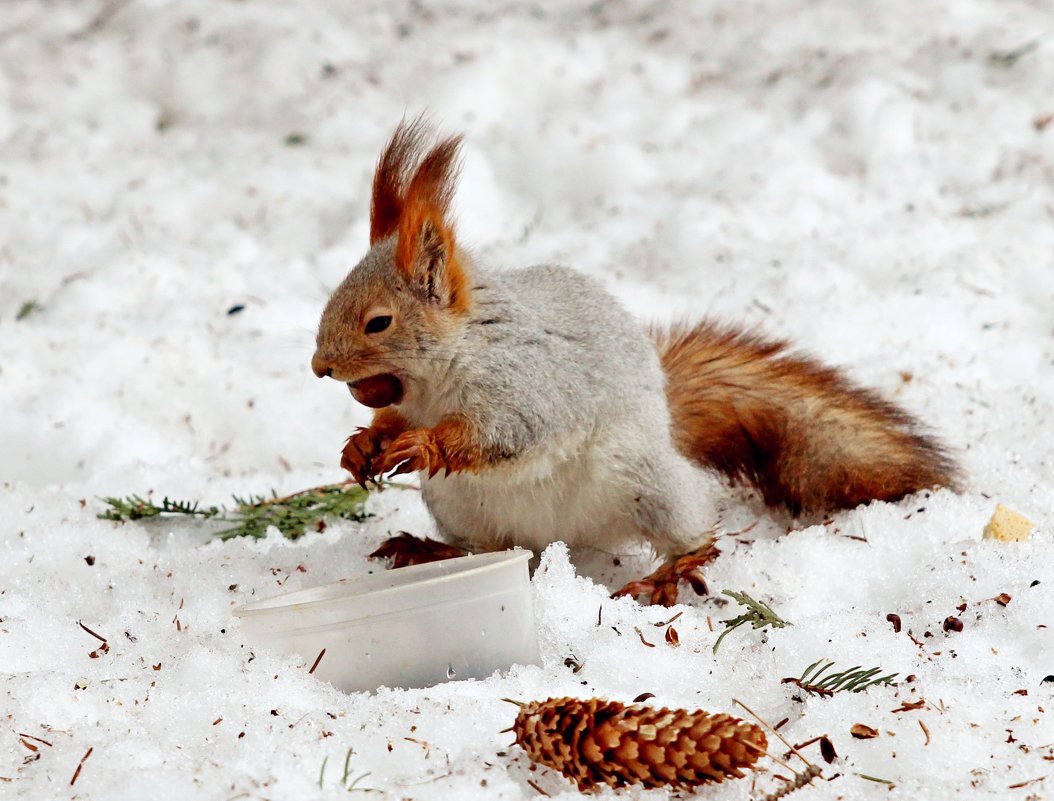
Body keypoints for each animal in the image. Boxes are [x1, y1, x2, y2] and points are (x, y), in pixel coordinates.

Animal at [307, 119, 961, 602]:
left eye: (378, 322)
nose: (320, 368)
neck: (439, 373)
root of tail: (565, 541)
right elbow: (392, 421)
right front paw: (363, 444)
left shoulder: (529, 381)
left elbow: (506, 432)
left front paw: (425, 442)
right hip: (461, 505)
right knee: (492, 551)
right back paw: (431, 550)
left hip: (646, 482)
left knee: (696, 529)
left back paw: (672, 570)